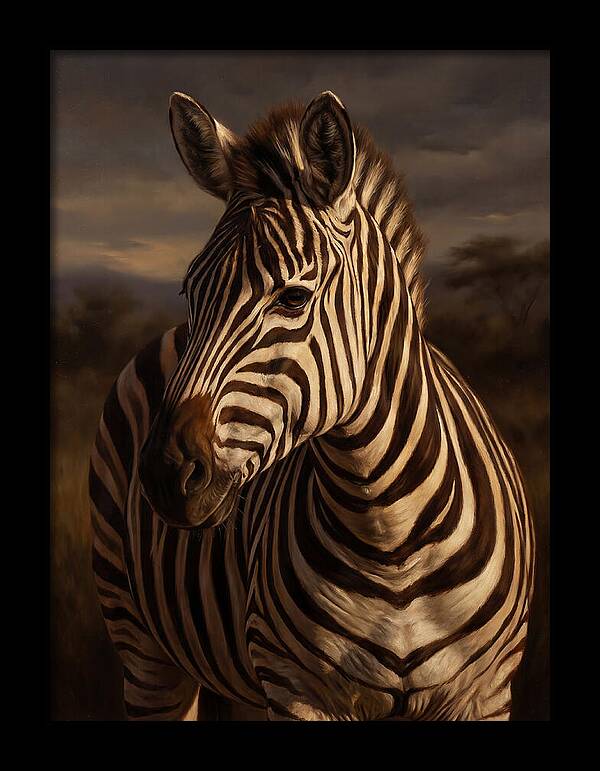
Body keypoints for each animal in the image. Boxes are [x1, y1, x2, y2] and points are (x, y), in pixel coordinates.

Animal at [89, 90, 535, 721]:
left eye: (295, 297)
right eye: (189, 291)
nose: (165, 474)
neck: (389, 535)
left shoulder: (486, 692)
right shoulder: (299, 688)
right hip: (143, 645)